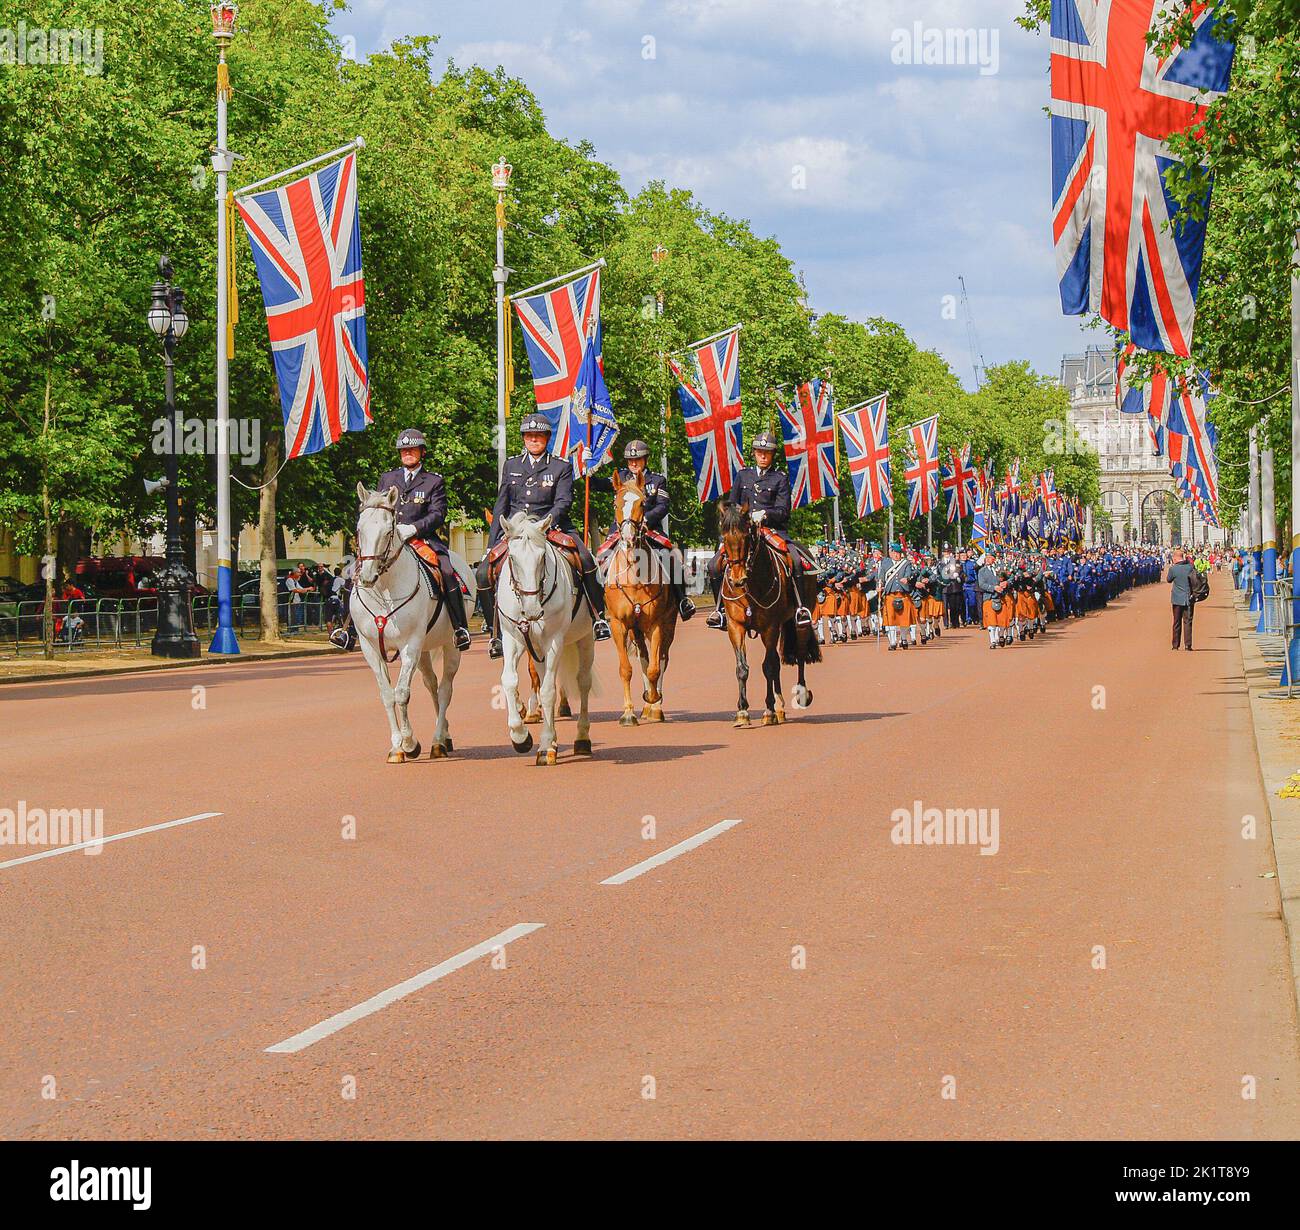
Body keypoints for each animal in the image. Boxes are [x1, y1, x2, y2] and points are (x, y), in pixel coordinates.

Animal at [353, 481, 475, 764]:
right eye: (359, 529)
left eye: (389, 531)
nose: (367, 577)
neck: (384, 590)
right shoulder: (369, 647)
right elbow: (387, 695)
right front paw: (396, 746)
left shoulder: (410, 644)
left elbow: (401, 693)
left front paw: (409, 743)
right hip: (424, 651)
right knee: (432, 685)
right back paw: (445, 736)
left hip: (449, 647)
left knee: (445, 689)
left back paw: (438, 740)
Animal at [496, 509, 598, 764]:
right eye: (512, 558)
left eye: (542, 557)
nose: (532, 610)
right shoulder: (513, 639)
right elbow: (510, 681)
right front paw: (521, 737)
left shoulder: (553, 641)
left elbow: (549, 691)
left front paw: (543, 747)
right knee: (542, 680)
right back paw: (550, 739)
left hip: (585, 639)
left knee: (582, 682)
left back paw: (581, 738)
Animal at [600, 468, 676, 717]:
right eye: (615, 503)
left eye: (642, 503)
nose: (628, 539)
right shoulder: (619, 624)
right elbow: (626, 668)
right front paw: (628, 713)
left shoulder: (656, 624)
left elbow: (654, 668)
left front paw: (653, 699)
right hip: (636, 630)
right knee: (643, 657)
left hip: (667, 625)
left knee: (661, 659)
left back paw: (654, 704)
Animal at [717, 501, 816, 722]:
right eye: (724, 538)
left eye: (746, 536)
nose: (737, 579)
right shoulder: (735, 626)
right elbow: (742, 668)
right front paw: (742, 710)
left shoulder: (770, 627)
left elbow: (768, 667)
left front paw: (769, 709)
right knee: (777, 661)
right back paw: (780, 707)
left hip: (798, 622)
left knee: (799, 654)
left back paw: (799, 694)